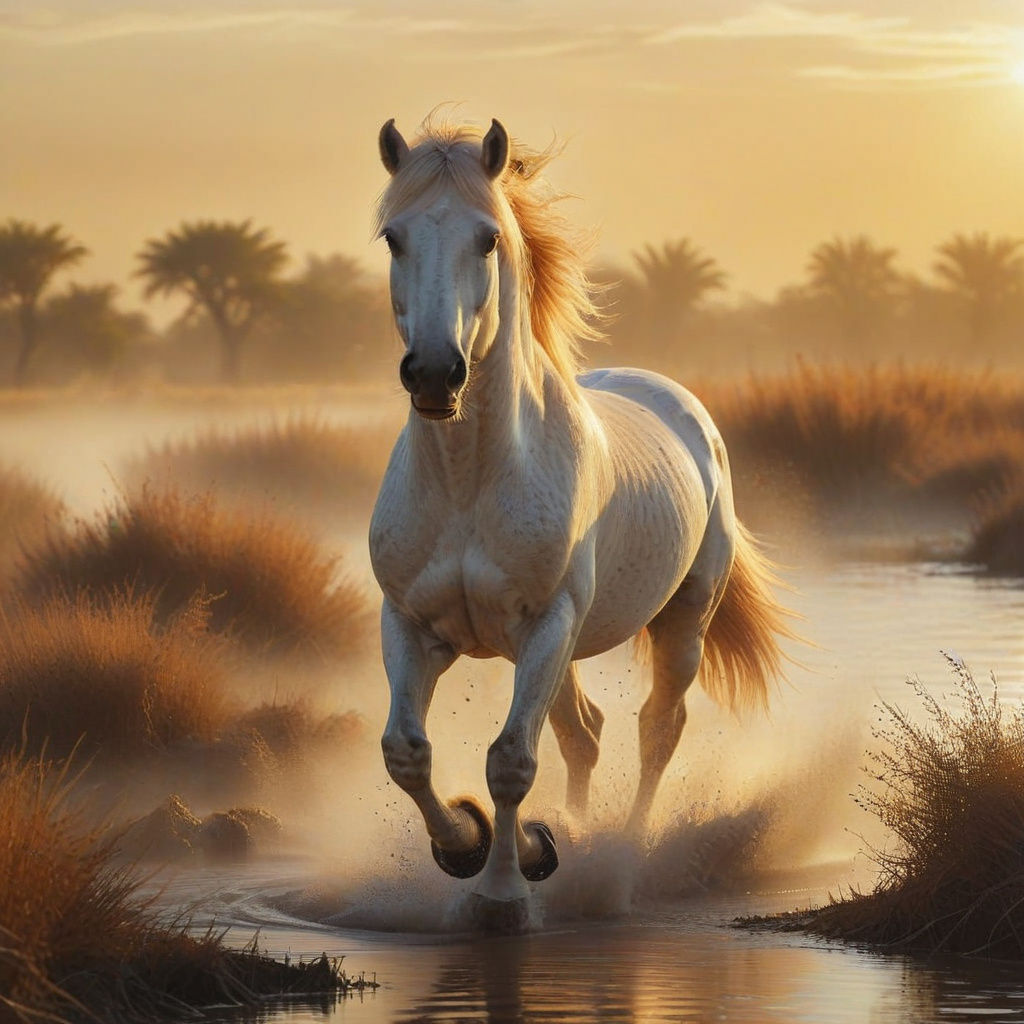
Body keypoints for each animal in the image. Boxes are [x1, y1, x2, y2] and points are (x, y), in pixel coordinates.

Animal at [368, 115, 791, 924]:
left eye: (488, 239)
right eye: (393, 237)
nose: (435, 375)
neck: (469, 481)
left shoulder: (548, 623)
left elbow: (510, 762)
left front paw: (500, 896)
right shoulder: (412, 624)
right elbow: (407, 752)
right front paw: (471, 845)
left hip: (678, 621)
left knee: (656, 731)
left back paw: (621, 865)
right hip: (554, 648)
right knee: (584, 734)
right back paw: (565, 838)